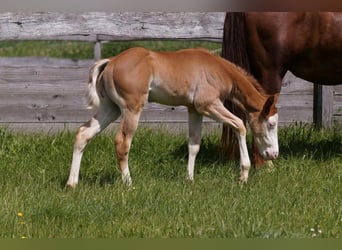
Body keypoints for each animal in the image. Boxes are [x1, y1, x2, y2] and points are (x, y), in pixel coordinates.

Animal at [66, 47, 278, 188]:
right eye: (271, 124)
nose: (273, 154)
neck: (218, 68)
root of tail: (111, 61)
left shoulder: (194, 110)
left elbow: (194, 145)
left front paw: (190, 179)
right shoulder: (208, 105)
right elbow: (240, 125)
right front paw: (244, 175)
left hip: (110, 109)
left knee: (83, 134)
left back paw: (72, 183)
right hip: (131, 109)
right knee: (122, 142)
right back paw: (129, 184)